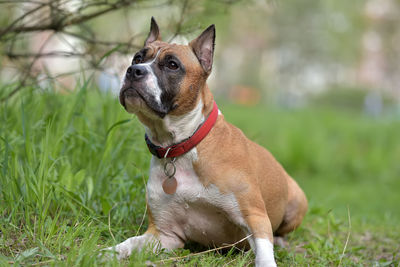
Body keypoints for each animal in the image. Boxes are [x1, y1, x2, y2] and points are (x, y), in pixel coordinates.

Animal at [109, 17, 306, 266]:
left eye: (172, 65)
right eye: (137, 58)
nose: (134, 70)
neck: (183, 146)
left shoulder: (255, 216)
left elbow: (263, 252)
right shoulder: (164, 235)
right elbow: (130, 243)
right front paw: (108, 252)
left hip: (297, 201)